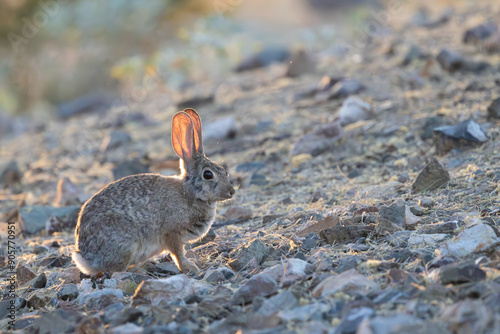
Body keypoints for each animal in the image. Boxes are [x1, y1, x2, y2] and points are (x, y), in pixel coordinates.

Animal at [73, 108, 236, 276]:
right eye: (208, 175)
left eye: (224, 171)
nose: (231, 191)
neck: (190, 193)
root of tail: (86, 258)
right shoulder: (172, 233)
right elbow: (178, 253)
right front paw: (190, 267)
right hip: (126, 243)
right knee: (116, 271)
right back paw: (142, 268)